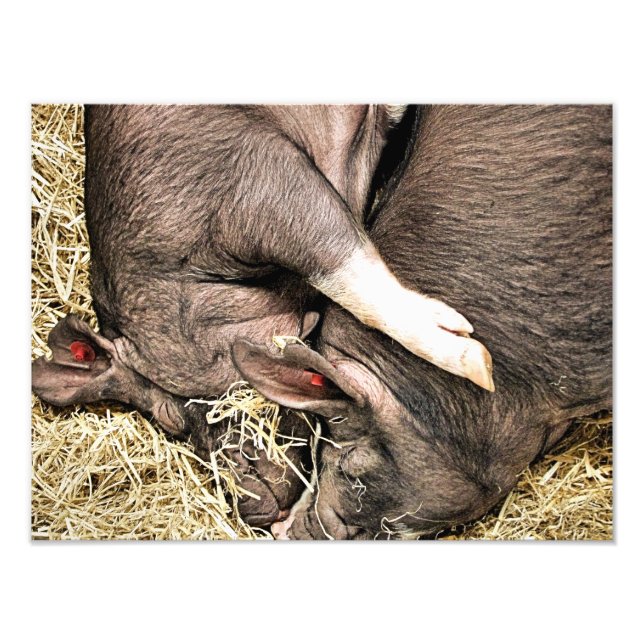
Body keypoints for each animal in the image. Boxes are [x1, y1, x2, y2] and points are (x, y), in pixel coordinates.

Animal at [32, 105, 492, 527]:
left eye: (170, 415)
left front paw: (476, 361)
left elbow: (344, 264)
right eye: (172, 428)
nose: (250, 510)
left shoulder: (252, 183)